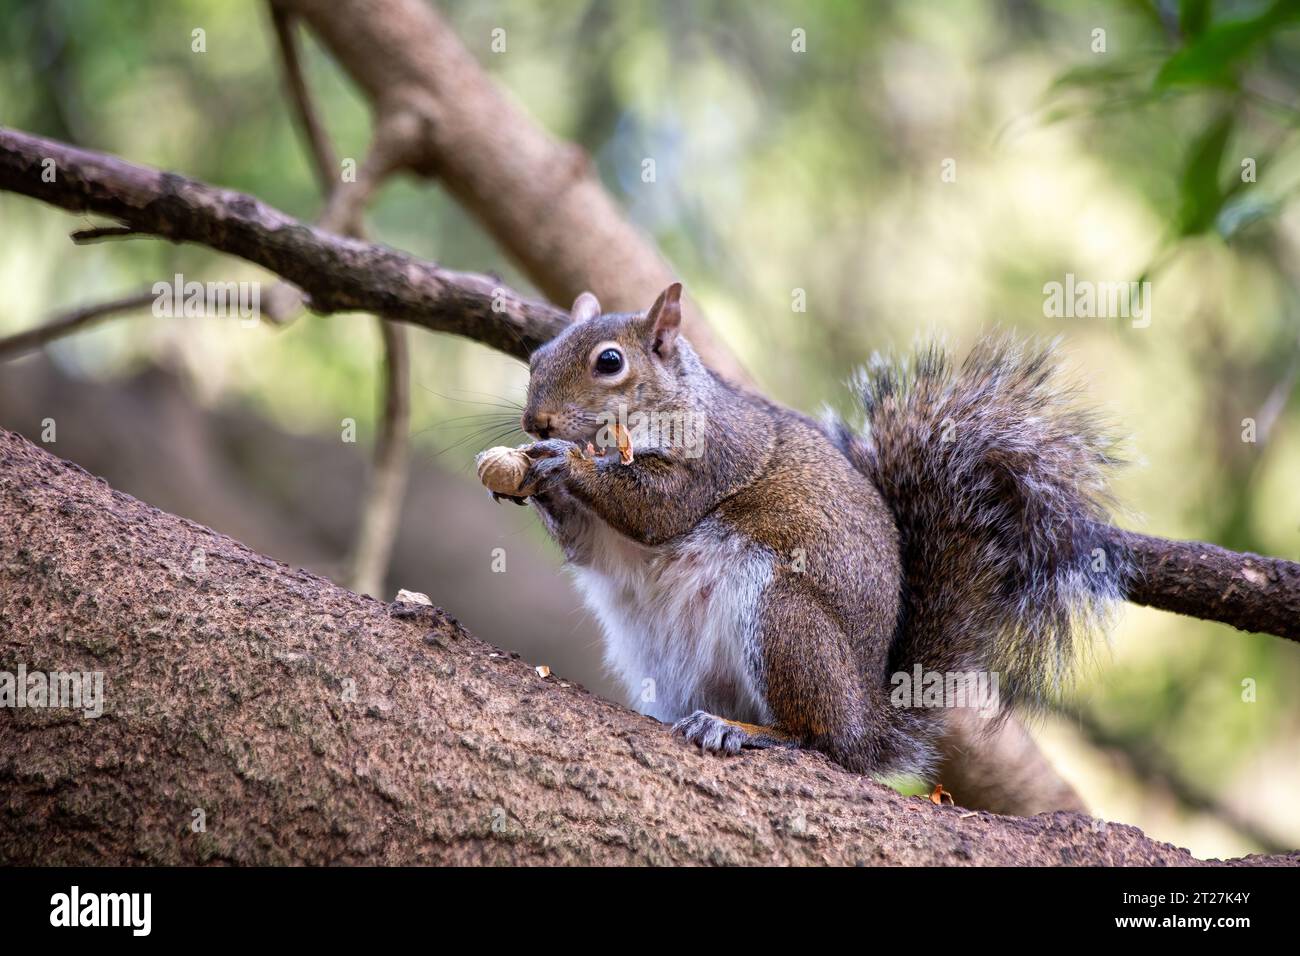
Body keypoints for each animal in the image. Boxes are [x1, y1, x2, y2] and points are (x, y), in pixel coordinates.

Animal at [506, 282, 1128, 777]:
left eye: (610, 362)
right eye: (535, 357)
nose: (536, 422)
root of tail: (867, 718)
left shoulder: (715, 459)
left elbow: (656, 510)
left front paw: (566, 463)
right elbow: (588, 547)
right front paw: (535, 479)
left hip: (784, 617)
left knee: (815, 738)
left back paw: (744, 730)